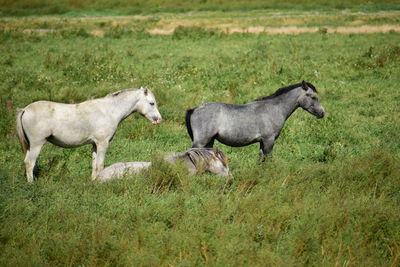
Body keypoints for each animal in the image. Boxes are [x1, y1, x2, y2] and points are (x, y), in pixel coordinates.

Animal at [15, 87, 162, 183]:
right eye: (152, 103)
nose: (158, 119)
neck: (109, 111)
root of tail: (25, 110)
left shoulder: (95, 144)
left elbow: (94, 165)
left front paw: (93, 181)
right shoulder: (103, 143)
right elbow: (100, 165)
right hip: (37, 144)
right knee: (30, 162)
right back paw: (31, 183)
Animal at [185, 81, 324, 160]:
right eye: (313, 97)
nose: (322, 113)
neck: (273, 109)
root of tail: (194, 109)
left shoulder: (262, 142)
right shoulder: (269, 140)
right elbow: (267, 159)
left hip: (209, 142)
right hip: (200, 142)